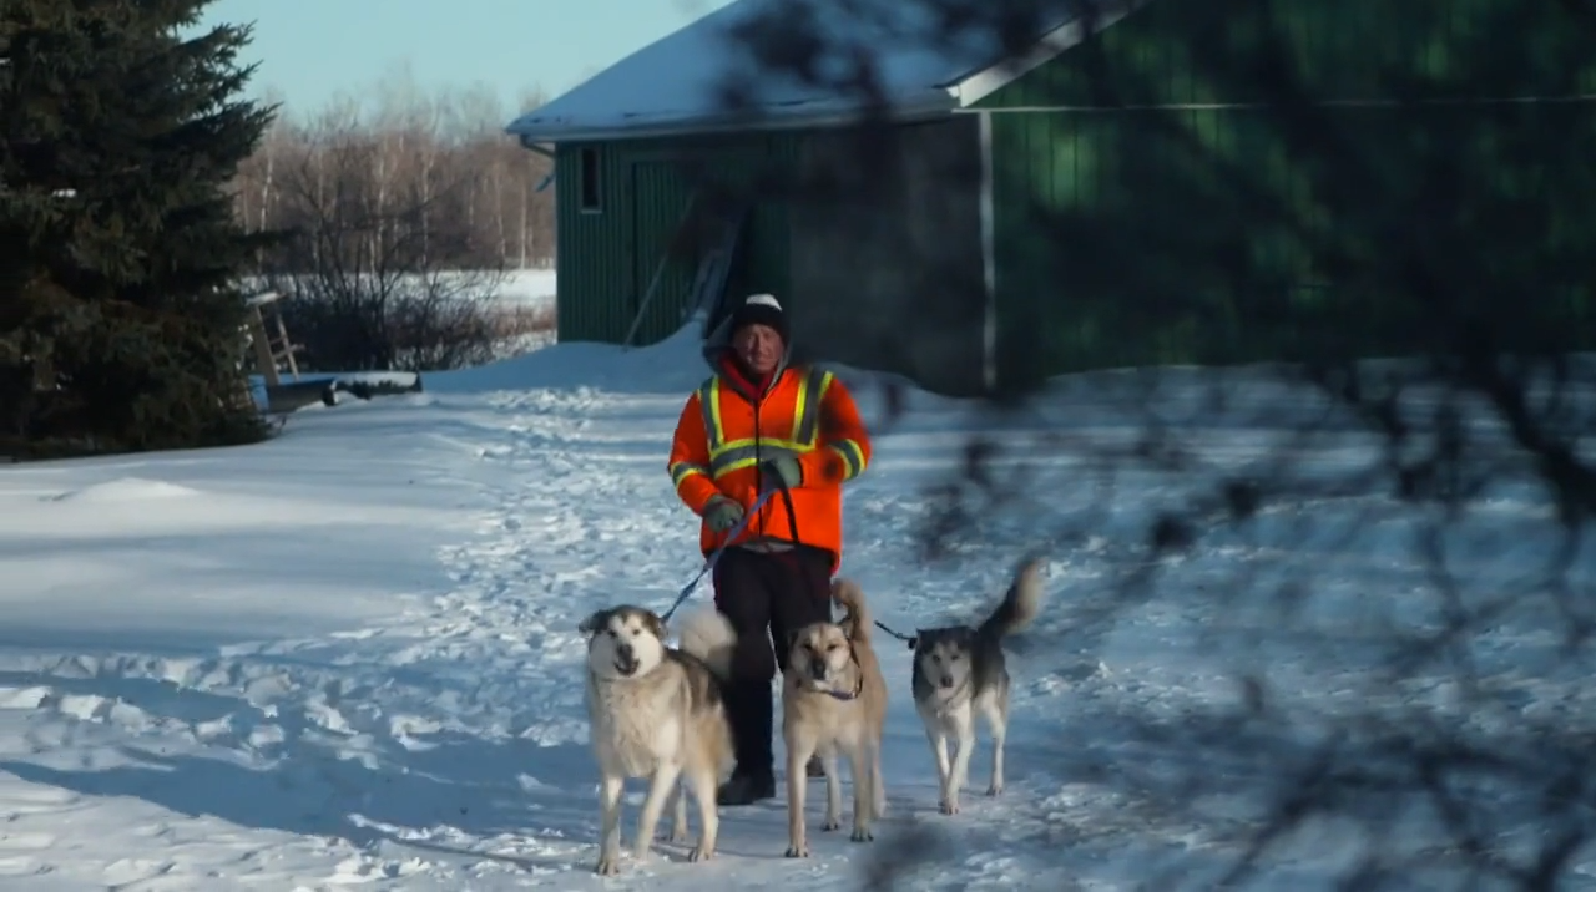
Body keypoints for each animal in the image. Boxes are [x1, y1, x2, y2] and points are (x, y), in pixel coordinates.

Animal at [584, 600, 737, 874]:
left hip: (696, 765)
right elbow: (610, 820)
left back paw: (702, 850)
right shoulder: (611, 767)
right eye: (612, 633)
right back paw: (678, 832)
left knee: (710, 814)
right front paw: (609, 862)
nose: (625, 649)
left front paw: (638, 852)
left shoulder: (666, 763)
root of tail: (702, 665)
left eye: (636, 631)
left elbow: (648, 811)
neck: (629, 689)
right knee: (678, 796)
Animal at [782, 577, 893, 855]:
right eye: (806, 646)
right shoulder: (798, 755)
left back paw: (877, 804)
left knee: (875, 766)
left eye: (832, 647)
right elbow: (796, 810)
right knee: (832, 776)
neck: (825, 700)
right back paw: (832, 816)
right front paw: (796, 846)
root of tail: (857, 638)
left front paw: (861, 830)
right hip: (824, 747)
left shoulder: (856, 751)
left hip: (870, 735)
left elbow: (860, 796)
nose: (819, 667)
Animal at [912, 555, 1046, 817]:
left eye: (955, 657)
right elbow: (945, 768)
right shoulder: (934, 731)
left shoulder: (962, 728)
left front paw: (950, 802)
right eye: (935, 657)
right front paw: (946, 794)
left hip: (992, 713)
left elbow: (954, 768)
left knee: (997, 749)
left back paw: (995, 784)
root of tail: (985, 635)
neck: (944, 698)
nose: (947, 680)